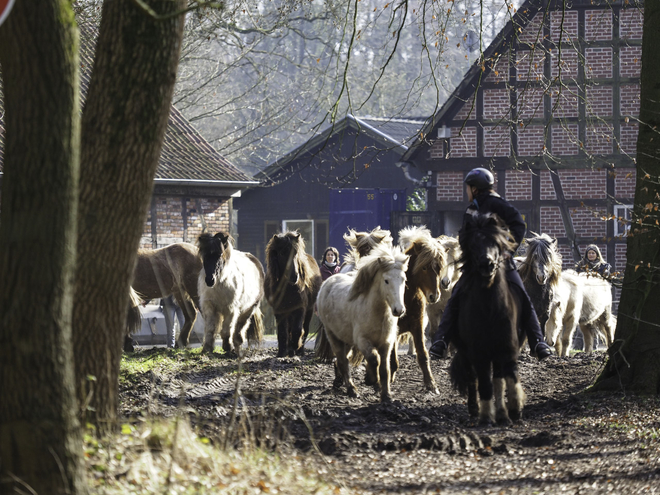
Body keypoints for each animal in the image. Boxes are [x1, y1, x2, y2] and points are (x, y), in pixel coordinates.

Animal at [318, 244, 410, 404]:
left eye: (403, 279)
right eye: (386, 280)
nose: (399, 310)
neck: (377, 313)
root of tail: (327, 283)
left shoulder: (386, 343)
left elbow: (385, 369)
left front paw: (386, 395)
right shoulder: (363, 341)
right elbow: (374, 360)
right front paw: (371, 381)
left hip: (346, 339)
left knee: (343, 360)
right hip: (333, 336)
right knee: (343, 361)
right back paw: (352, 390)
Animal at [392, 227, 444, 394]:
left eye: (439, 268)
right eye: (424, 267)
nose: (434, 296)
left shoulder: (418, 326)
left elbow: (423, 355)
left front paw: (431, 384)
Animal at [448, 213, 524, 426]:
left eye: (496, 242)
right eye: (473, 244)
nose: (487, 264)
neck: (491, 310)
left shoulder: (507, 348)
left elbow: (508, 378)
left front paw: (511, 411)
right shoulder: (479, 353)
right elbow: (484, 384)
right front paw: (486, 417)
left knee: (497, 378)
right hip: (466, 352)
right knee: (472, 378)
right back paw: (475, 409)